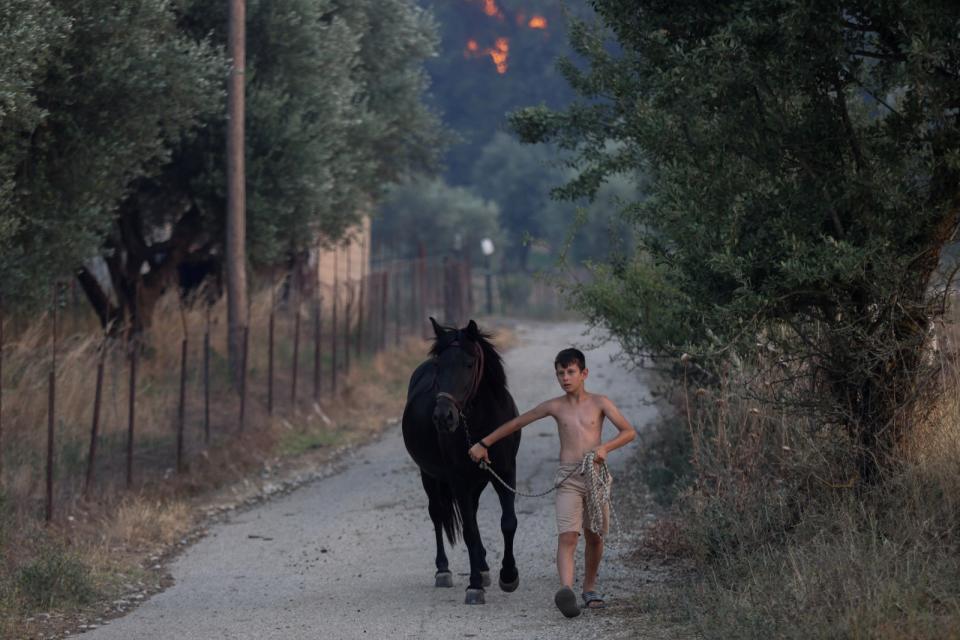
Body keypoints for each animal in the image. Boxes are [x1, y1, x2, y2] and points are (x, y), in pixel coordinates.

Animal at [400, 320, 520, 604]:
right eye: (439, 365)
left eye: (469, 363)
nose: (443, 417)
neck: (482, 425)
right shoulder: (459, 481)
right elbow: (469, 532)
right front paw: (474, 586)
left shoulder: (505, 473)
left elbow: (508, 523)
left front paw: (508, 576)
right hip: (430, 476)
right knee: (438, 514)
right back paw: (443, 570)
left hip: (477, 481)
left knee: (472, 514)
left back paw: (485, 568)